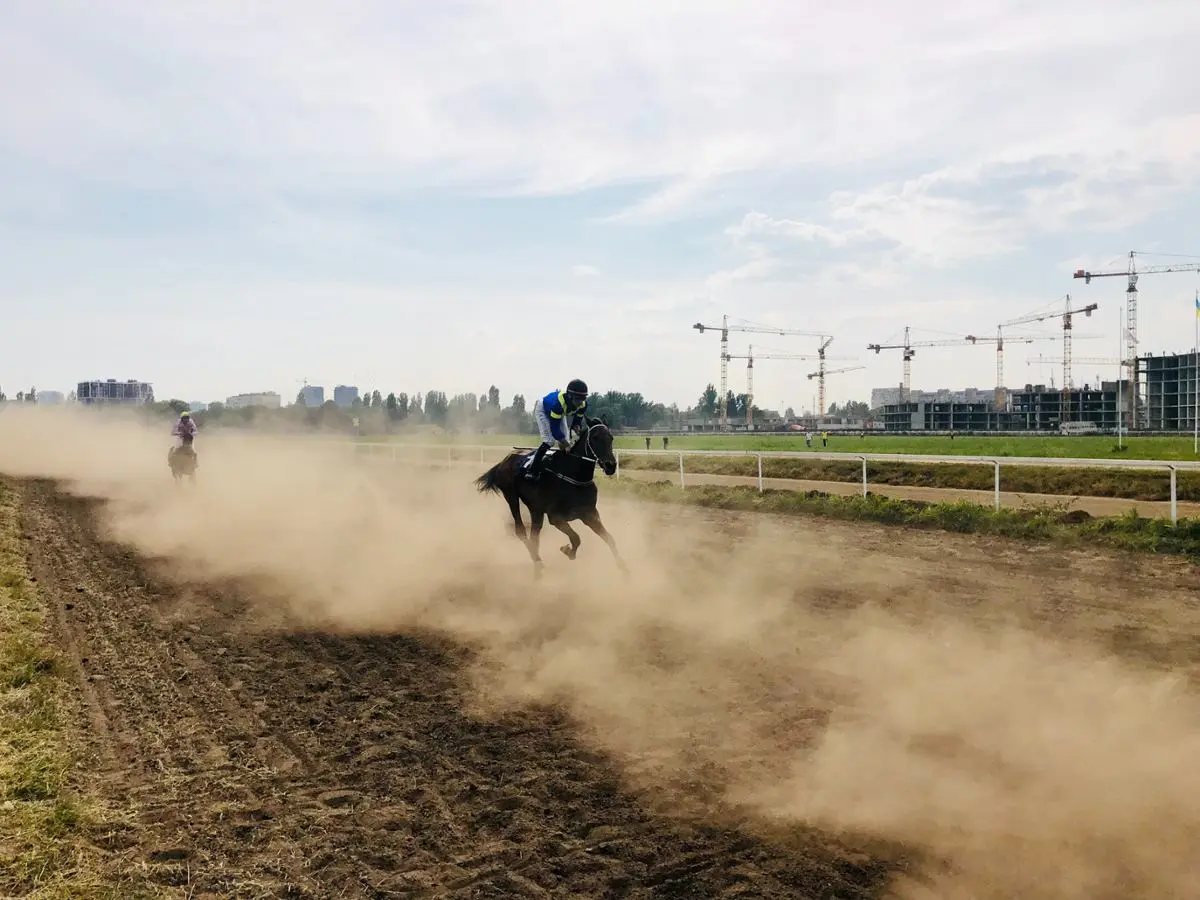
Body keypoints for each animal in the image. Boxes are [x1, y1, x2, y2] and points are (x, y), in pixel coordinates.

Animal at [475, 417, 628, 578]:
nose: (611, 465)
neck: (574, 476)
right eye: (595, 437)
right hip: (511, 496)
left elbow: (609, 538)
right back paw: (536, 559)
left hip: (535, 508)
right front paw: (567, 550)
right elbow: (576, 538)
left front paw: (623, 567)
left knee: (535, 533)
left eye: (611, 437)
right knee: (520, 530)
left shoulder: (589, 514)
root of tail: (505, 459)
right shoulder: (556, 517)